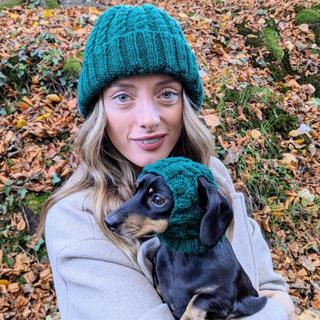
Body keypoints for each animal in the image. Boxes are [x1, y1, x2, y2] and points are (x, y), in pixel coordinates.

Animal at [105, 160, 268, 320]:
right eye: (136, 189)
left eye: (158, 199)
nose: (107, 221)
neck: (182, 256)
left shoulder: (224, 297)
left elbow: (197, 300)